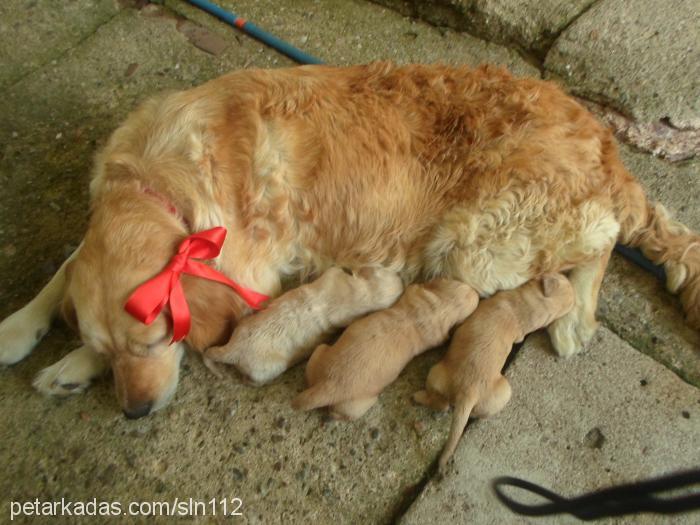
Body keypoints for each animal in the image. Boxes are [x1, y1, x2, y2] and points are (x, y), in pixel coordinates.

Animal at [204, 268, 400, 382]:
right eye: (383, 269)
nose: (401, 279)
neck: (358, 294)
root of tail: (233, 349)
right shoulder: (334, 276)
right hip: (267, 368)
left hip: (243, 326)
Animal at [416, 272, 576, 464]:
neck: (527, 308)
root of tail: (467, 394)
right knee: (449, 406)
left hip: (438, 373)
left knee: (441, 403)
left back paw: (417, 396)